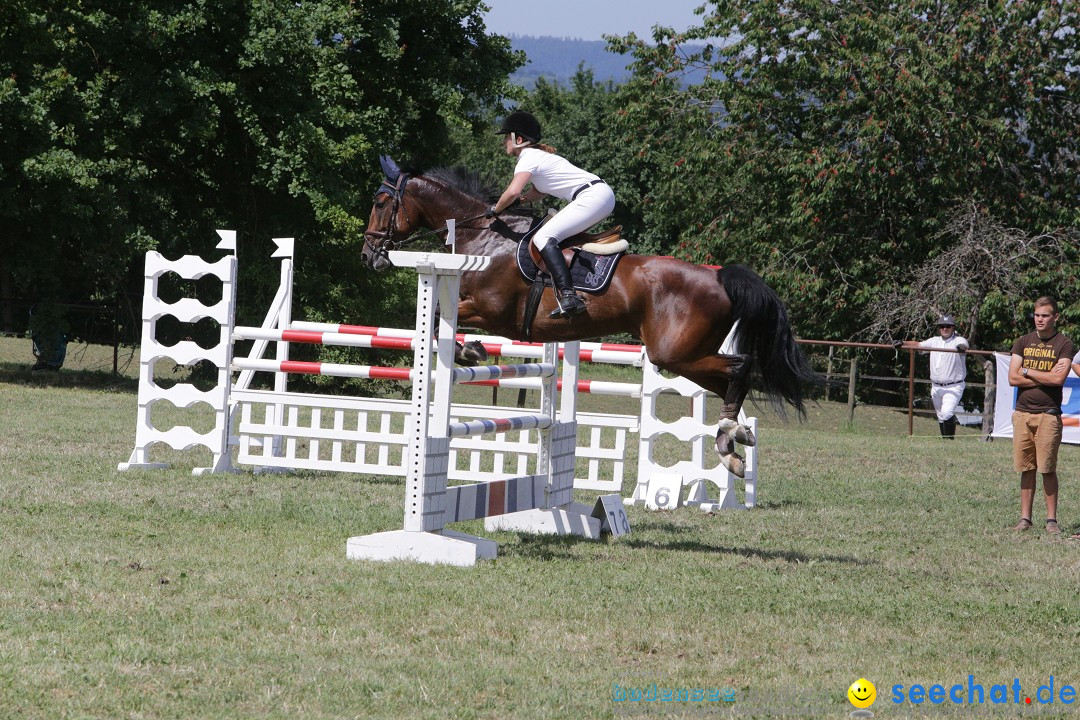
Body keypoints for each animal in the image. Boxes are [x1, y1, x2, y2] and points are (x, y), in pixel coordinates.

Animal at [358, 157, 812, 479]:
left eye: (380, 203)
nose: (368, 256)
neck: (483, 237)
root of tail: (717, 275)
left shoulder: (492, 311)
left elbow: (437, 319)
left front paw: (470, 351)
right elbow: (438, 321)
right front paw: (472, 349)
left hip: (674, 353)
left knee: (740, 367)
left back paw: (731, 440)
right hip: (687, 355)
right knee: (729, 381)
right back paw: (731, 442)